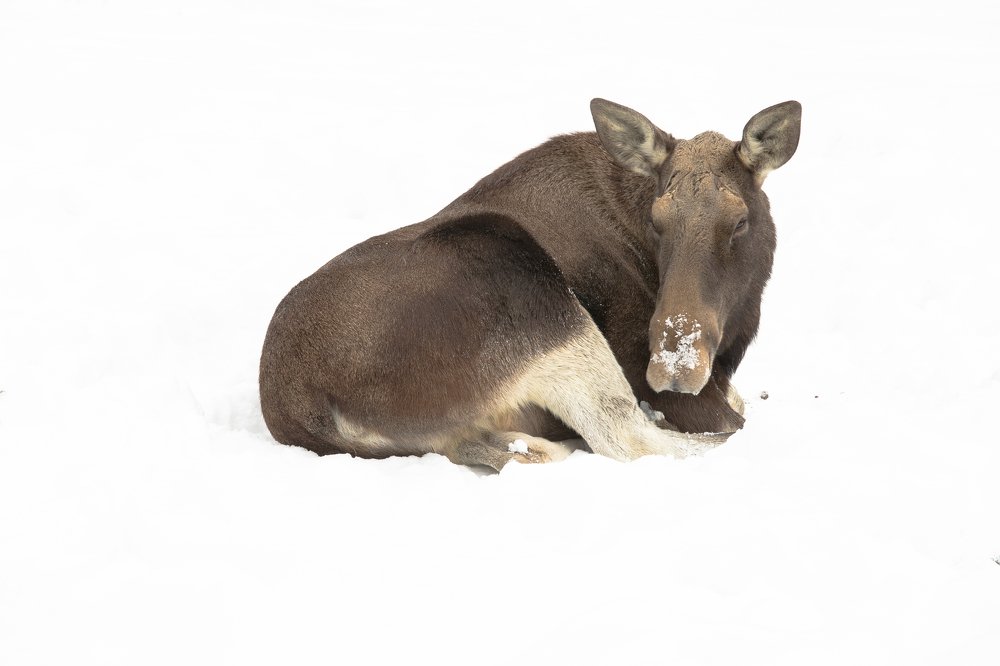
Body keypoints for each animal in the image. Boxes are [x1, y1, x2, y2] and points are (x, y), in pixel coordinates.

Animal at [259, 98, 801, 470]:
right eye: (656, 220)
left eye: (739, 221)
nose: (674, 366)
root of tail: (299, 410)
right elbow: (727, 420)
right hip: (531, 291)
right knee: (628, 437)